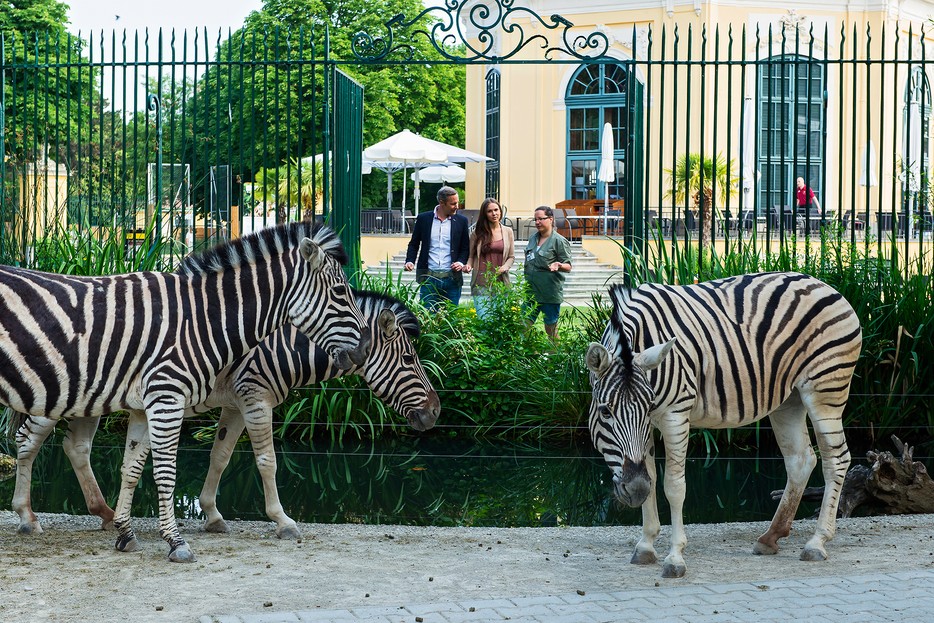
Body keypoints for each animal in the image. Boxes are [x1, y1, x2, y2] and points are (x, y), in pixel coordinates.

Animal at [3, 222, 372, 564]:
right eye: (341, 292)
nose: (363, 350)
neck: (200, 319)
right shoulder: (169, 397)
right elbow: (167, 472)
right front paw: (176, 542)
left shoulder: (145, 405)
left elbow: (132, 468)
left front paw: (125, 533)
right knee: (29, 440)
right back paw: (27, 516)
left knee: (71, 446)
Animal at [588, 272, 868, 580]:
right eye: (605, 411)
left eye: (647, 408)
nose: (635, 491)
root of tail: (822, 283)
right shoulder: (648, 428)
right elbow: (649, 474)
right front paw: (646, 545)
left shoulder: (675, 414)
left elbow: (673, 486)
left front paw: (675, 557)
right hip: (789, 399)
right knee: (801, 459)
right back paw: (770, 537)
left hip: (826, 389)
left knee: (836, 459)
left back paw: (817, 542)